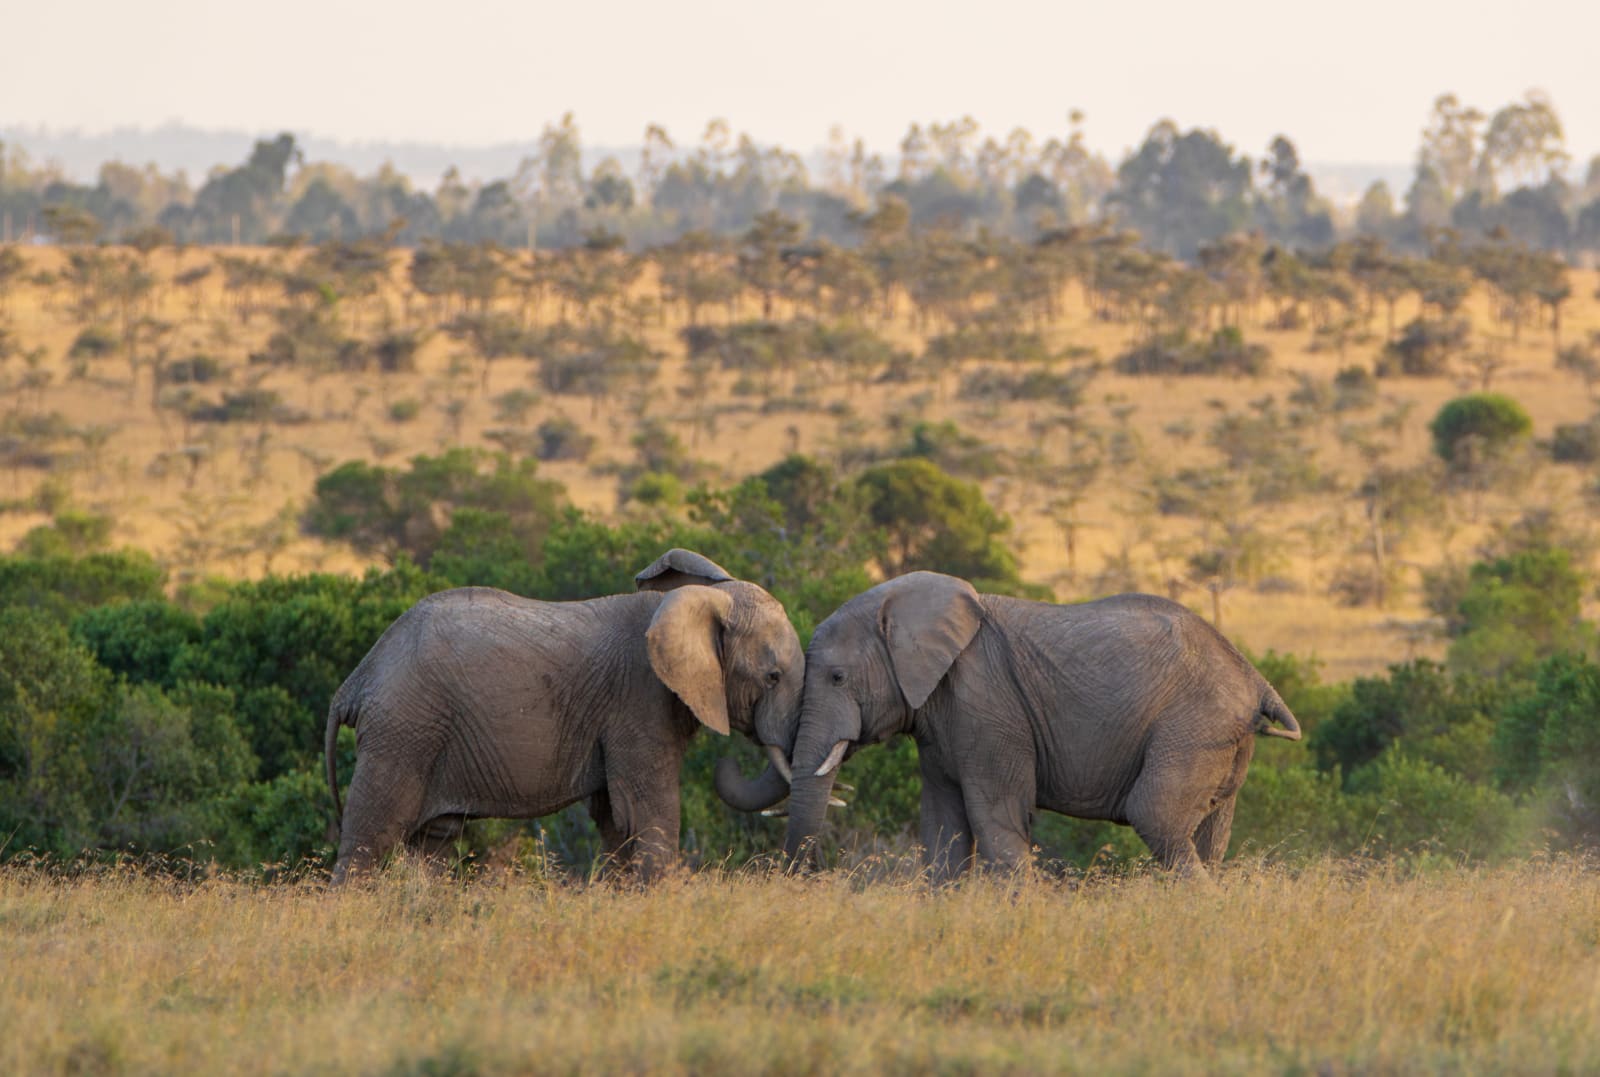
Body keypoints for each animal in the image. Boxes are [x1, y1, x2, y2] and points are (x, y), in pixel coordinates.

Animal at [324, 549, 804, 884]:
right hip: (402, 730)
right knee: (370, 839)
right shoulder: (638, 702)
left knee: (432, 847)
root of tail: (357, 679)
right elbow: (647, 815)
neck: (687, 601)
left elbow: (615, 821)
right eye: (773, 677)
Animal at [780, 571, 1302, 882]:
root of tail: (1257, 680)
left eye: (836, 677)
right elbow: (943, 831)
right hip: (1219, 738)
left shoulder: (989, 708)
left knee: (1157, 816)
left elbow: (997, 822)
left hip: (1193, 727)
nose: (808, 878)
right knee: (1209, 835)